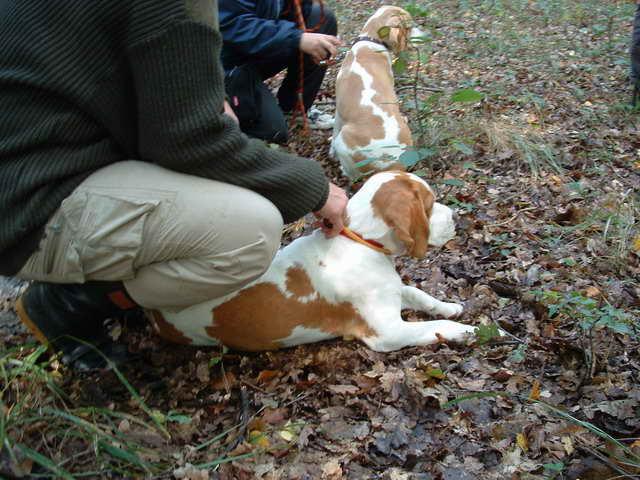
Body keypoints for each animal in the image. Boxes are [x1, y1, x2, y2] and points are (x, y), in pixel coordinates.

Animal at [149, 172, 476, 352]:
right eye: (430, 205)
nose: (456, 217)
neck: (358, 241)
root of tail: (157, 312)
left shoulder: (392, 292)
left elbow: (419, 294)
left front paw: (450, 306)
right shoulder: (387, 332)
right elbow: (433, 326)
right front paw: (464, 331)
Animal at [330, 7, 424, 184]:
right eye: (409, 27)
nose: (424, 35)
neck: (371, 42)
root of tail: (390, 165)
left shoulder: (339, 111)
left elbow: (334, 129)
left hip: (344, 141)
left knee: (353, 175)